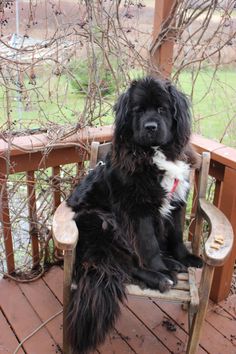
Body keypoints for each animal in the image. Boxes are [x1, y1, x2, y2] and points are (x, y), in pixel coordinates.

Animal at [67, 77, 203, 354]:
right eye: (138, 111)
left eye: (162, 109)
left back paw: (174, 263)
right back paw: (161, 277)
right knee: (124, 265)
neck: (155, 153)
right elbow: (149, 246)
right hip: (101, 223)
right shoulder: (138, 211)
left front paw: (185, 257)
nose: (151, 127)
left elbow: (175, 235)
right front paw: (160, 270)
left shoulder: (177, 201)